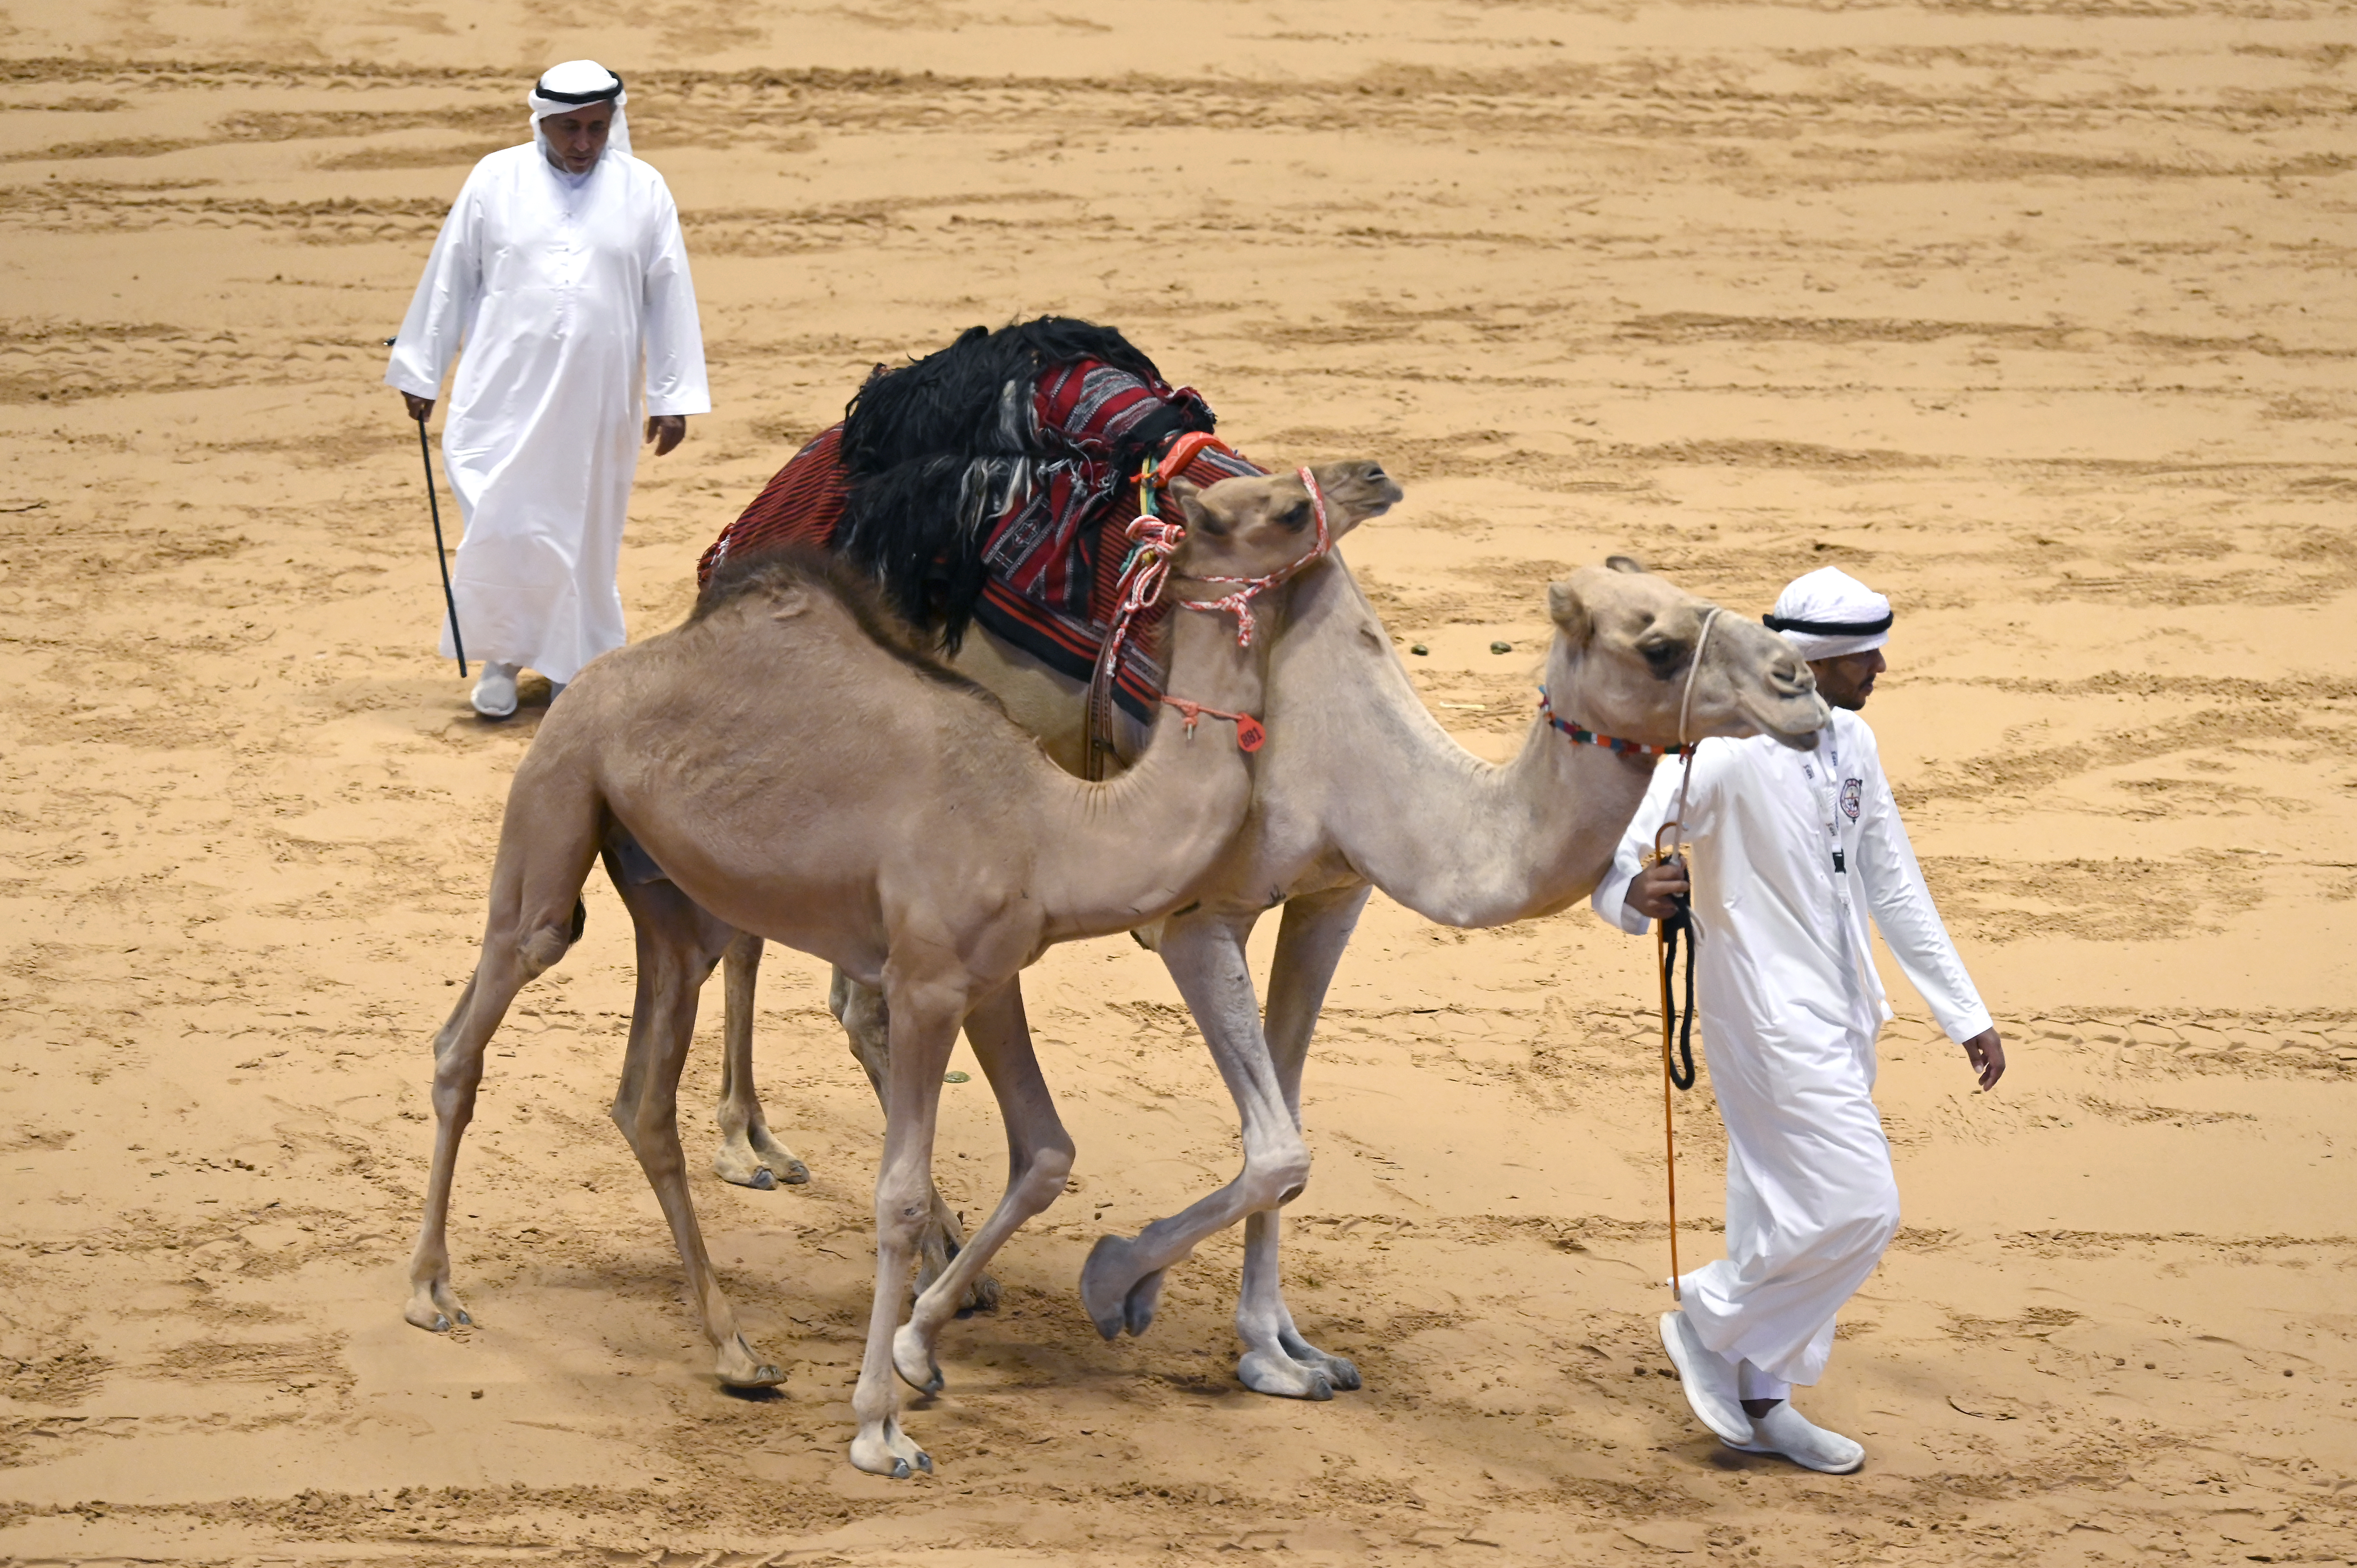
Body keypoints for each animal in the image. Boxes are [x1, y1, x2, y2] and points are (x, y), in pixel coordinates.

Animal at [398, 455, 1404, 1481]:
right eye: (1284, 505)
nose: (1372, 474)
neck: (1052, 828)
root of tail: (590, 681)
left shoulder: (992, 978)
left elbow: (1046, 1151)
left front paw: (928, 1349)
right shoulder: (925, 983)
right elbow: (902, 1196)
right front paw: (880, 1425)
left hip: (675, 903)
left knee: (643, 1097)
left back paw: (736, 1351)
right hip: (559, 800)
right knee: (473, 1024)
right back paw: (432, 1291)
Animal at [702, 549, 1819, 1396]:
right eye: (1657, 643)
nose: (1801, 685)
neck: (1369, 761)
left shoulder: (1335, 895)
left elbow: (1284, 1112)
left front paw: (1280, 1350)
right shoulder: (1201, 918)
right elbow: (1279, 1146)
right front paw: (1116, 1282)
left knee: (852, 994)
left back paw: (924, 1238)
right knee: (765, 943)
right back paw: (767, 1161)